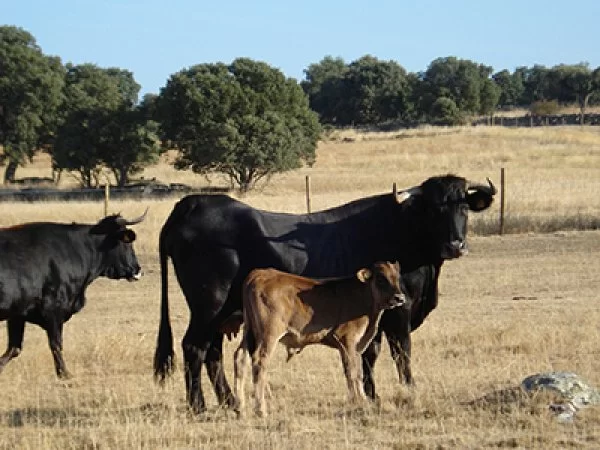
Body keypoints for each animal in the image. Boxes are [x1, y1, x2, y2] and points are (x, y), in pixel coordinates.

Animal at [0, 210, 148, 376]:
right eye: (127, 243)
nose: (138, 270)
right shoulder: (53, 309)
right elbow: (56, 344)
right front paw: (65, 374)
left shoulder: (18, 314)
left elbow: (14, 348)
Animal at [232, 262, 406, 416]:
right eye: (381, 278)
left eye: (397, 277)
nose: (399, 297)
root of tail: (260, 273)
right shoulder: (347, 340)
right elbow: (352, 372)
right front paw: (357, 401)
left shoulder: (356, 346)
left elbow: (358, 372)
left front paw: (362, 399)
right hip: (269, 334)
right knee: (259, 362)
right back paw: (260, 409)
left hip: (249, 330)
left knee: (240, 357)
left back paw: (240, 407)